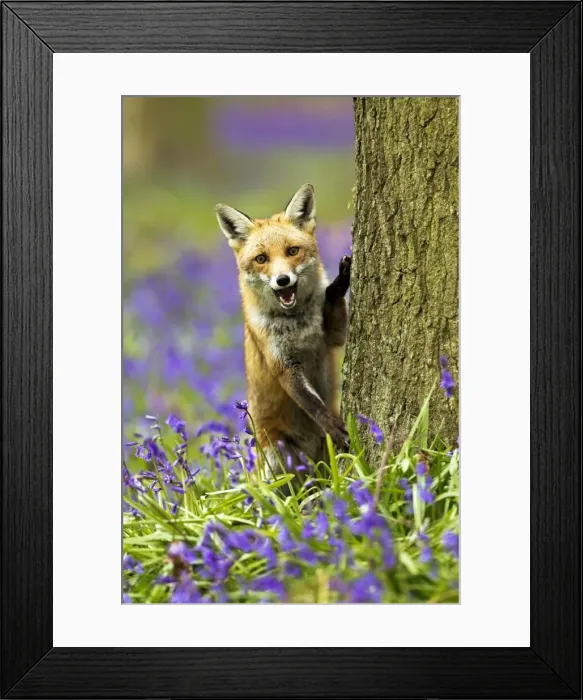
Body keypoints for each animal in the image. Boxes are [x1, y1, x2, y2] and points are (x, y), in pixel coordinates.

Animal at [214, 183, 351, 473]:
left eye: (292, 251)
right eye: (261, 258)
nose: (283, 280)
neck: (298, 322)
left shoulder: (333, 338)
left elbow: (332, 301)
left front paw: (341, 280)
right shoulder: (284, 365)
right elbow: (312, 403)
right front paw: (332, 425)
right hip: (275, 459)